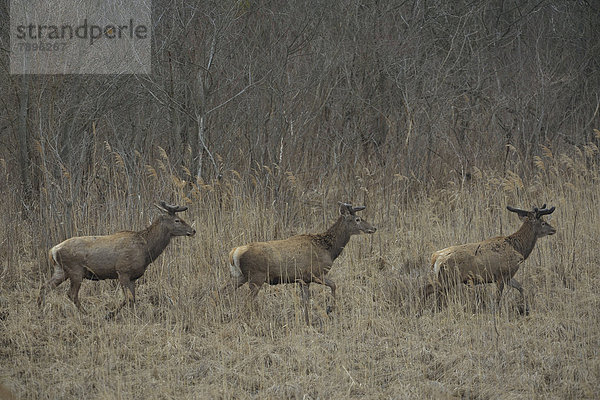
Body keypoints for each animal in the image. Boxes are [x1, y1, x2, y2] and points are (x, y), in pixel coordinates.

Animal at [37, 202, 195, 318]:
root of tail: (53, 250)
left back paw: (40, 310)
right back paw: (87, 314)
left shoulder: (132, 277)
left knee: (45, 286)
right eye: (177, 220)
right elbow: (129, 298)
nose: (193, 230)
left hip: (61, 271)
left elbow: (132, 299)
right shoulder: (122, 271)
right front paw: (110, 314)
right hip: (75, 270)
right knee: (71, 294)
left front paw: (130, 316)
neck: (146, 250)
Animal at [226, 202, 376, 324]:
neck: (329, 249)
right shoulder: (314, 274)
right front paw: (329, 309)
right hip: (256, 277)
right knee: (247, 301)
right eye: (357, 219)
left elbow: (305, 301)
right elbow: (334, 285)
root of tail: (235, 252)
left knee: (224, 290)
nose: (373, 228)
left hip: (243, 276)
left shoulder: (303, 279)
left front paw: (307, 322)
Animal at [422, 205, 556, 314]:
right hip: (448, 277)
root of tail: (436, 257)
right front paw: (497, 312)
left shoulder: (508, 276)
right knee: (426, 289)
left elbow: (521, 288)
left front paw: (527, 308)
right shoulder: (502, 274)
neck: (519, 248)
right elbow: (497, 298)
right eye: (543, 222)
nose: (554, 229)